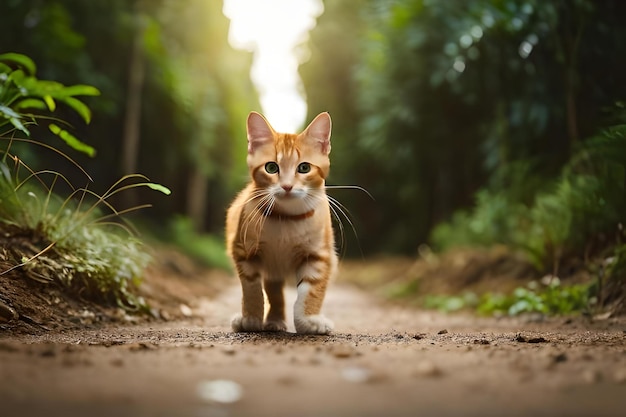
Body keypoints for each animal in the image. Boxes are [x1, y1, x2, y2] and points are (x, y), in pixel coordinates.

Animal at [225, 110, 336, 334]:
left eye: (304, 167)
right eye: (271, 167)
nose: (286, 186)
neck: (286, 218)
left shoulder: (319, 255)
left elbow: (312, 290)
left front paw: (308, 321)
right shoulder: (243, 250)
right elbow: (251, 288)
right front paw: (251, 318)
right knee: (273, 290)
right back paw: (274, 320)